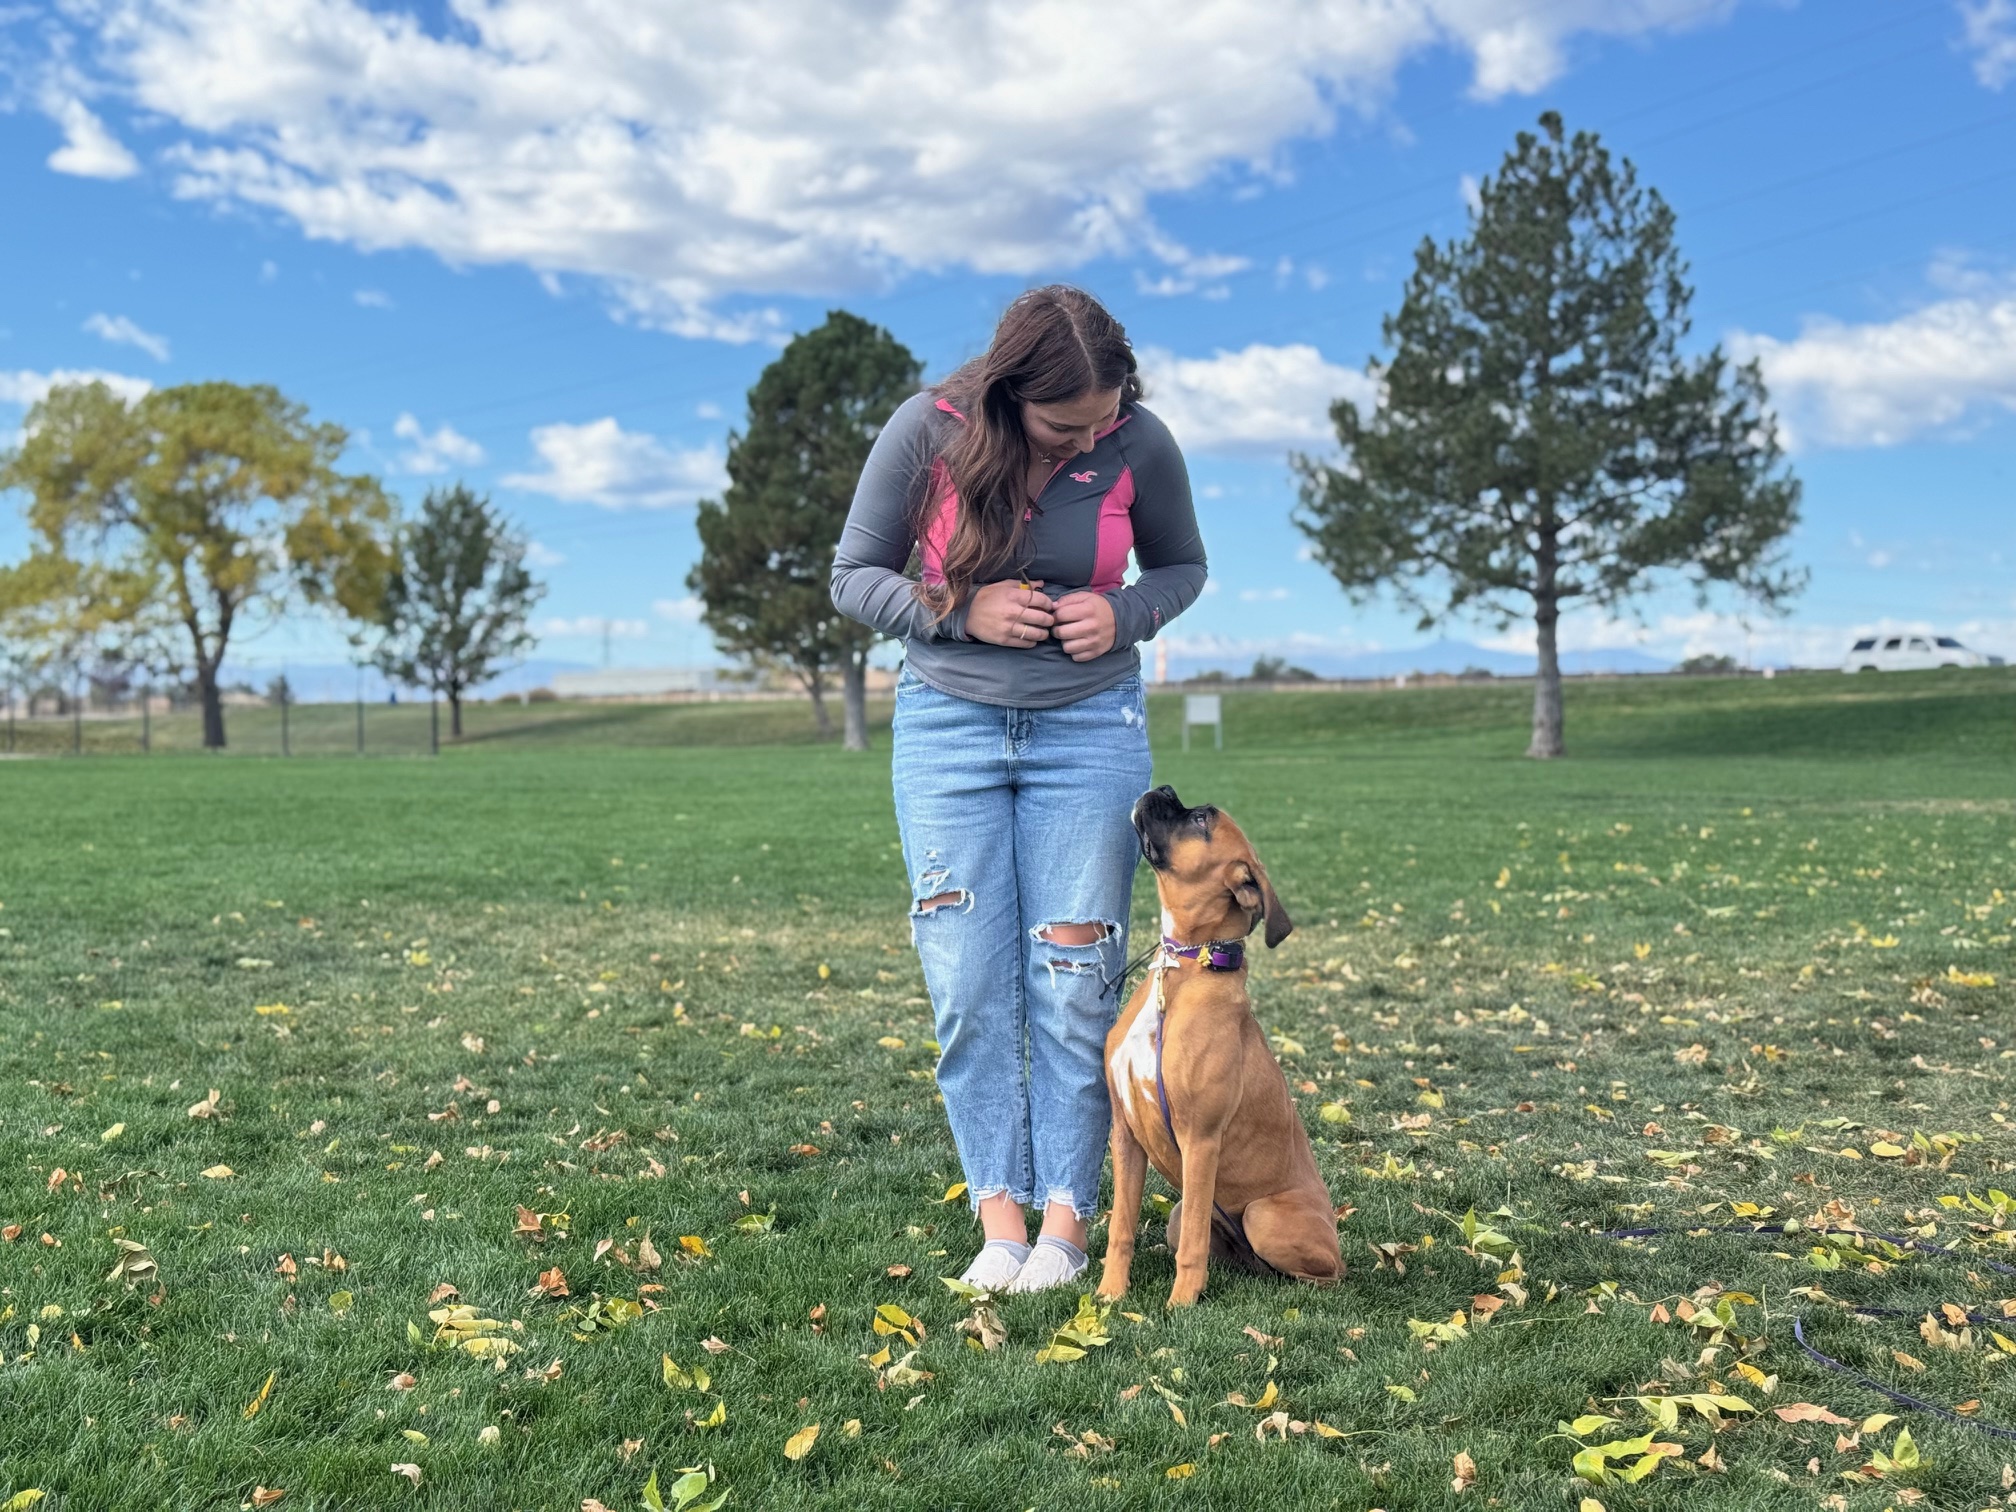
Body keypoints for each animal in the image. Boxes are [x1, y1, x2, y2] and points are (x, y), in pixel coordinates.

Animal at [1104, 786, 1338, 1306]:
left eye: (1203, 820)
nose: (1163, 789)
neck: (1186, 966)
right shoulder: (1126, 1134)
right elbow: (1121, 1226)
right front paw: (1109, 1294)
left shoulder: (1200, 1141)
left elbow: (1191, 1244)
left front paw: (1180, 1304)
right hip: (1187, 1215)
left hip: (1262, 1215)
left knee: (1324, 1274)